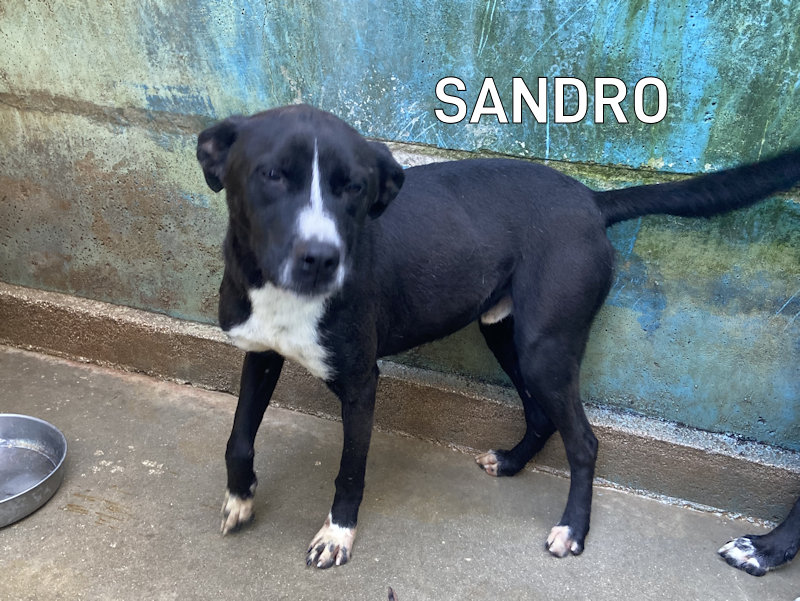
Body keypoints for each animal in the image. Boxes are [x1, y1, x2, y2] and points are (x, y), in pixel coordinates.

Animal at [196, 104, 800, 572]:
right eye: (272, 175)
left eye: (355, 188)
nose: (322, 258)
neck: (280, 292)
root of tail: (591, 201)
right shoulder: (260, 353)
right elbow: (238, 437)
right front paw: (240, 498)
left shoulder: (361, 382)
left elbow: (350, 471)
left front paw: (337, 535)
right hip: (507, 335)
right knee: (540, 415)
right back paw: (511, 463)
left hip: (544, 349)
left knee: (584, 441)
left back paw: (573, 530)